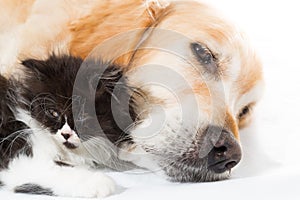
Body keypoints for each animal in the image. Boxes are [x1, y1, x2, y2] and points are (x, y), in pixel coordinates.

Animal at [0, 54, 136, 197]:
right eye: (53, 113)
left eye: (82, 116)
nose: (66, 134)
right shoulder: (17, 155)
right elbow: (56, 169)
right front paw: (100, 182)